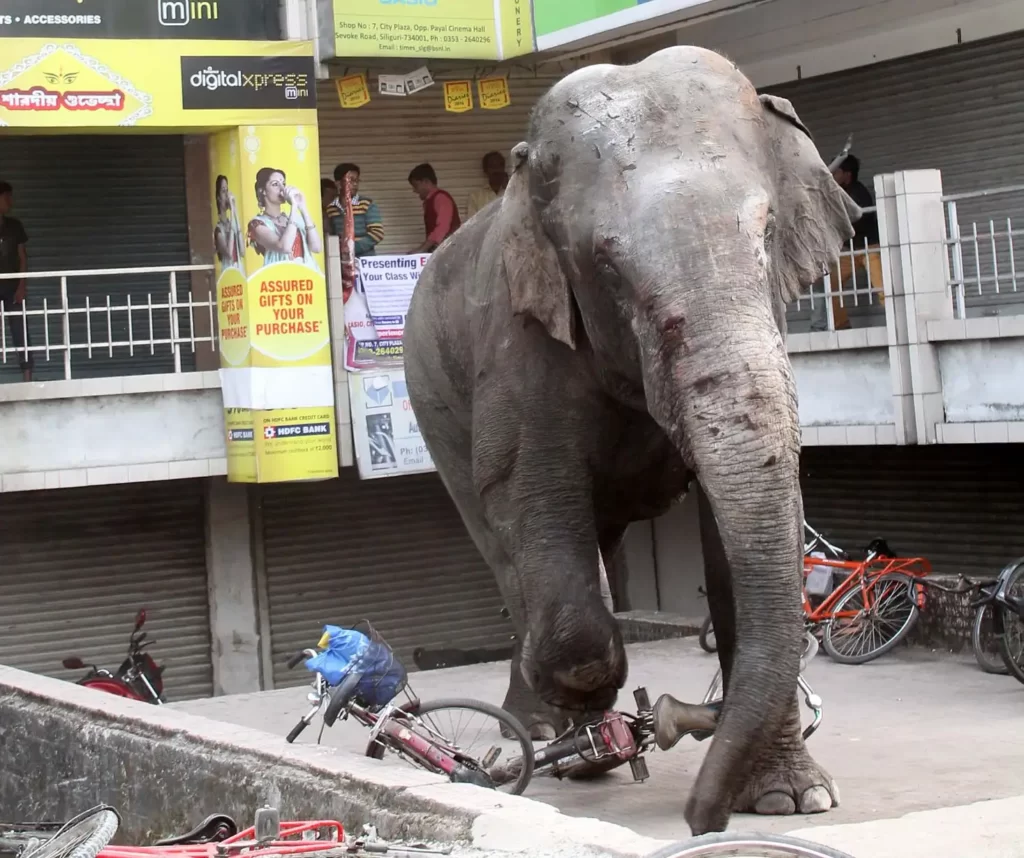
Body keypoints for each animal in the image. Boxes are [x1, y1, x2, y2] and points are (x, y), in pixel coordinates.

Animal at [402, 45, 860, 834]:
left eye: (768, 235)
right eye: (607, 267)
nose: (701, 820)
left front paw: (790, 800)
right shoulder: (521, 345)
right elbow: (532, 500)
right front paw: (591, 720)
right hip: (430, 393)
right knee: (507, 547)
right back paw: (545, 731)